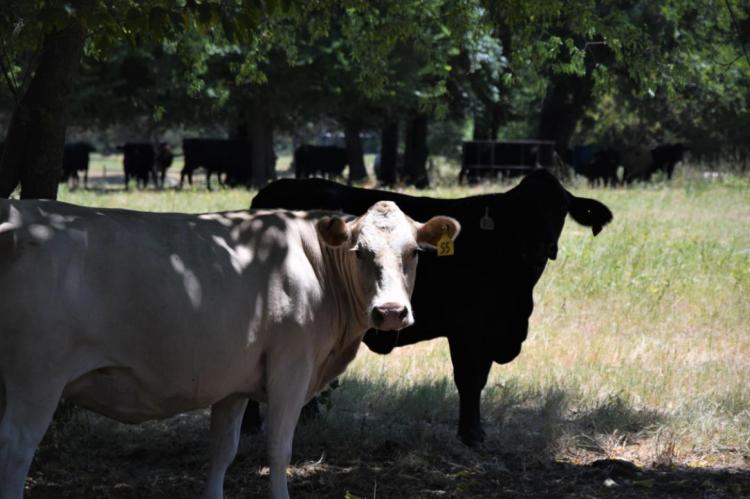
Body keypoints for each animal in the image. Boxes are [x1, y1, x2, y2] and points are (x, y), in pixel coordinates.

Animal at [0, 199, 460, 499]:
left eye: (413, 253)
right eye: (360, 252)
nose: (390, 312)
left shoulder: (234, 382)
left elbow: (223, 452)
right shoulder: (291, 367)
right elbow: (279, 449)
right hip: (36, 376)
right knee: (16, 449)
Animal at [243, 170, 613, 446]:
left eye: (561, 209)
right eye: (519, 211)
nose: (543, 246)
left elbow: (478, 379)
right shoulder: (468, 329)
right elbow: (469, 379)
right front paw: (471, 435)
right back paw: (253, 425)